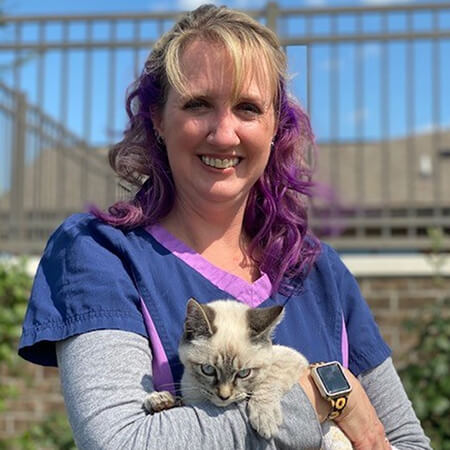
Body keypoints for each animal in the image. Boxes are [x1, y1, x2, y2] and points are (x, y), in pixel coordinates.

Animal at [143, 298, 352, 448]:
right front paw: (159, 400)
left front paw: (265, 419)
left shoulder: (292, 359)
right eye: (208, 370)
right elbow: (177, 401)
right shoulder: (191, 397)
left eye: (243, 374)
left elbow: (269, 379)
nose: (224, 396)